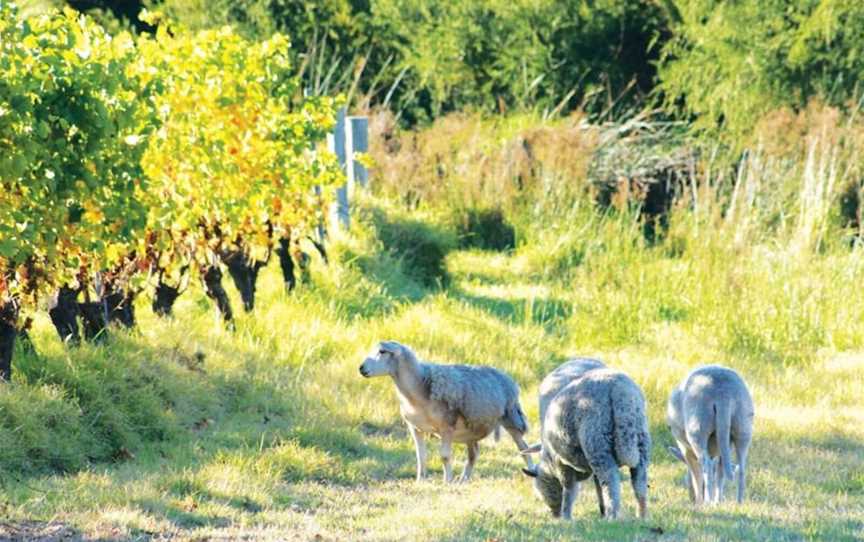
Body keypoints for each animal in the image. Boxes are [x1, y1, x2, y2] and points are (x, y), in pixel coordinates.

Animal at [358, 342, 532, 486]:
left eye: (382, 351)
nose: (361, 368)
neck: (420, 385)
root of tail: (507, 377)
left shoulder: (447, 425)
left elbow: (445, 456)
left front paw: (447, 481)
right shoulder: (415, 427)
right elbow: (421, 456)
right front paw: (420, 481)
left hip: (511, 417)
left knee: (523, 447)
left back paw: (531, 470)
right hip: (472, 427)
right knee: (473, 453)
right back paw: (463, 480)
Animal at [520, 370, 648, 524]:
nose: (555, 515)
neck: (548, 461)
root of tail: (619, 391)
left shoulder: (562, 464)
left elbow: (569, 490)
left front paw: (567, 517)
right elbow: (597, 485)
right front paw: (601, 510)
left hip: (597, 443)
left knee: (611, 483)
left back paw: (612, 516)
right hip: (641, 439)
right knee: (639, 482)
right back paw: (642, 515)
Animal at [664, 364, 752, 508]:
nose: (692, 498)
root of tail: (723, 394)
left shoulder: (685, 448)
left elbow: (696, 474)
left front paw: (699, 501)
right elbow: (720, 471)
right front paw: (718, 500)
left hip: (698, 424)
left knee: (706, 465)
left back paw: (706, 502)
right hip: (743, 422)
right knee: (741, 466)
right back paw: (738, 503)